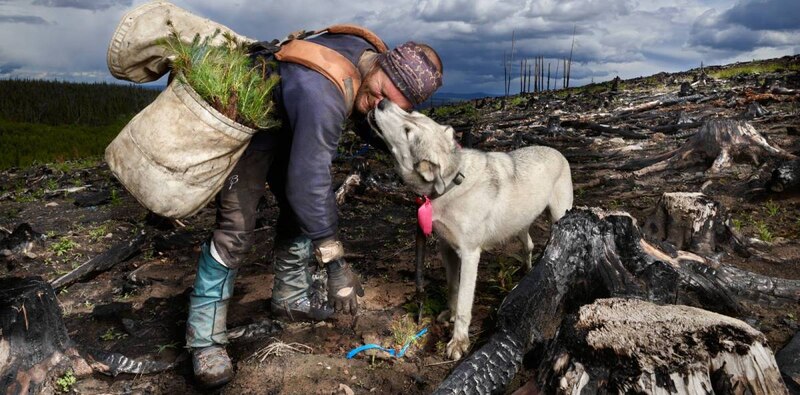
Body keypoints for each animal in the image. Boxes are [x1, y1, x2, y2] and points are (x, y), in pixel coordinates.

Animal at [372, 100, 572, 362]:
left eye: (407, 131)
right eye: (411, 113)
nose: (382, 102)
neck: (450, 185)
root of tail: (557, 152)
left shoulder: (469, 255)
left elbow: (465, 304)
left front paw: (458, 341)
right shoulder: (447, 249)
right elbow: (453, 288)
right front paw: (449, 314)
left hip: (559, 216)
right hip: (520, 225)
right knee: (528, 245)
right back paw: (527, 273)